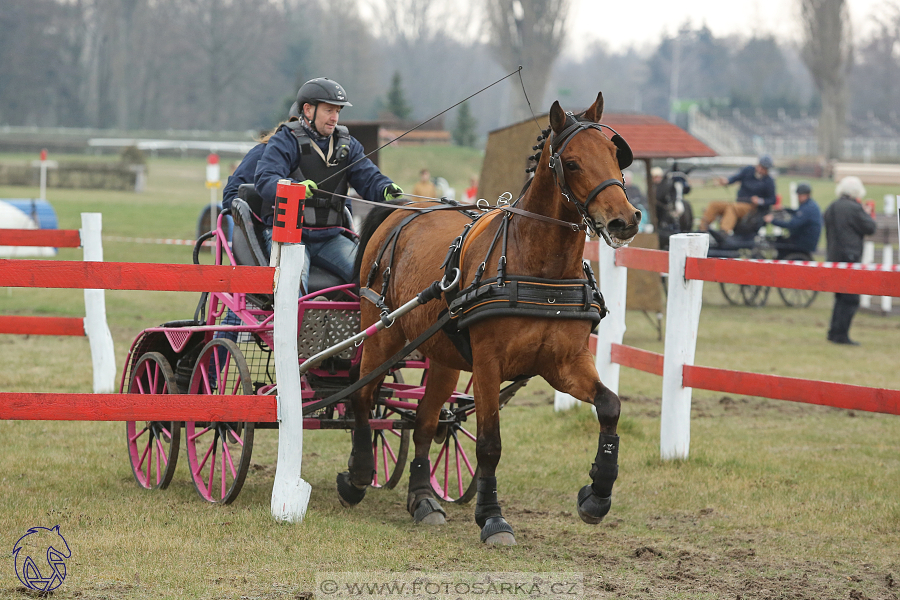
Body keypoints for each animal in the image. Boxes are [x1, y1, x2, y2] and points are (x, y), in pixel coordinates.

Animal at [338, 92, 640, 544]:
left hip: (442, 355)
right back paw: (358, 475)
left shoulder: (565, 363)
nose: (625, 219)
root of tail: (405, 211)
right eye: (572, 163)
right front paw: (492, 518)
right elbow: (489, 445)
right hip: (383, 336)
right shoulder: (487, 364)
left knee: (425, 421)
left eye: (614, 154)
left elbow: (609, 405)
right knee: (362, 397)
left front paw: (597, 495)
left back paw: (423, 499)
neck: (538, 269)